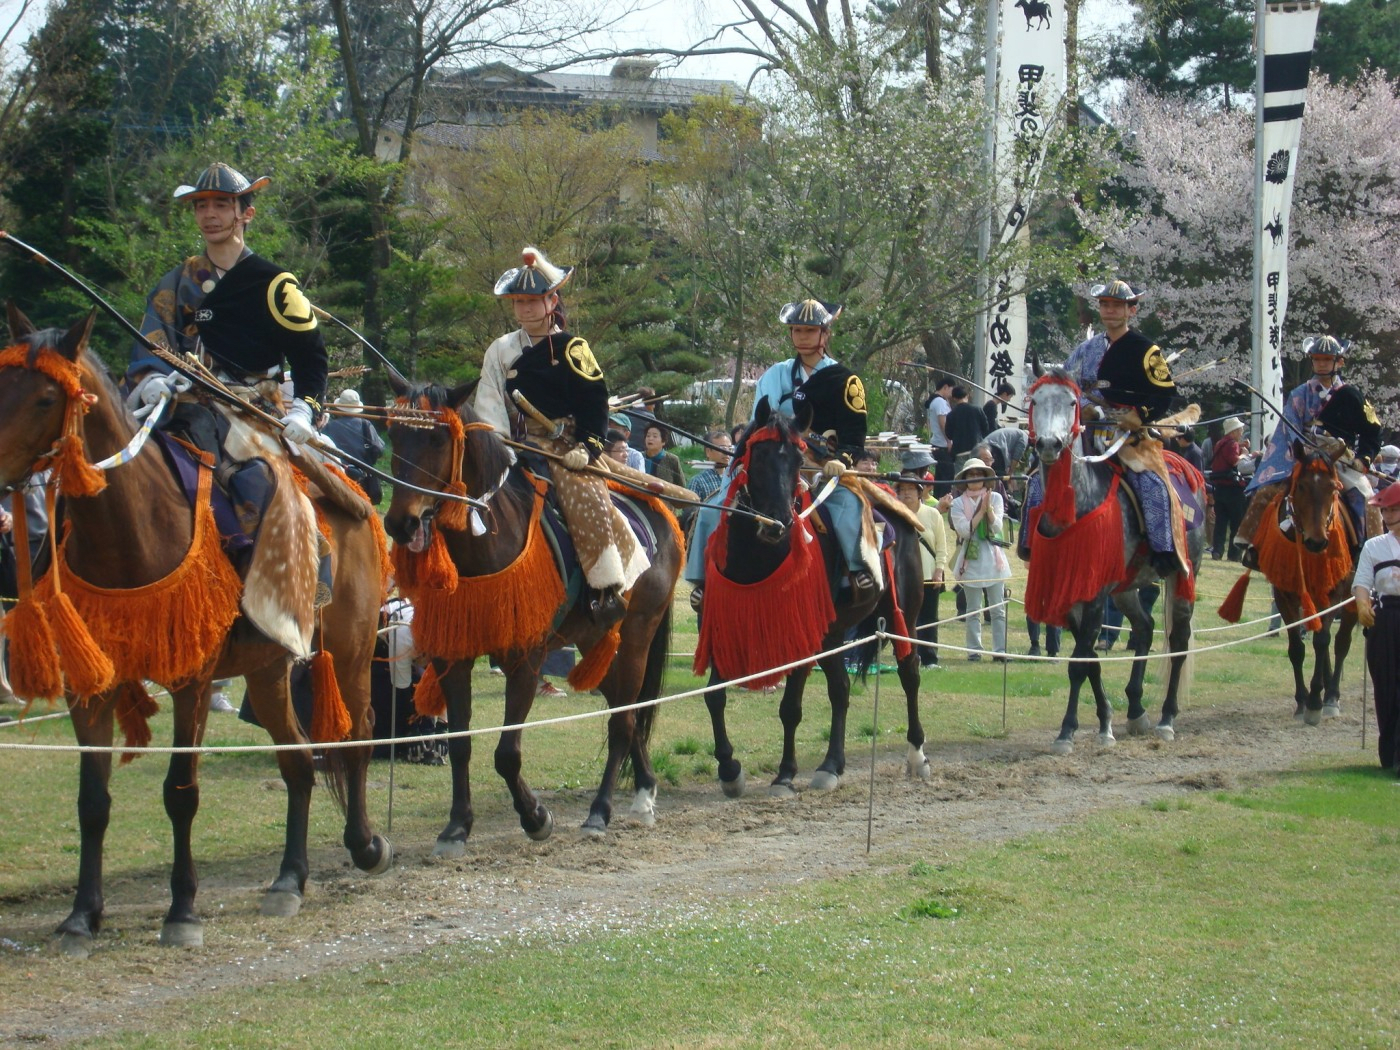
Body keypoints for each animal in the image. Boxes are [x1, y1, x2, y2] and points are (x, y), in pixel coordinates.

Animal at [0, 308, 389, 957]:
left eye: (47, 397)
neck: (129, 529)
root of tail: (346, 491)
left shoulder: (192, 680)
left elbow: (181, 792)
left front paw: (182, 911)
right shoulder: (91, 684)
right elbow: (92, 801)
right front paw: (81, 916)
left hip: (353, 648)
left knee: (356, 736)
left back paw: (364, 844)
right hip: (268, 667)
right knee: (298, 761)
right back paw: (289, 879)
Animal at [383, 378, 677, 845]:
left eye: (437, 438)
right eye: (394, 433)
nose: (401, 523)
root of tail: (660, 512)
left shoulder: (525, 656)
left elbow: (506, 753)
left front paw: (536, 817)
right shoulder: (453, 654)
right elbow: (461, 742)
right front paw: (457, 825)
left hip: (637, 634)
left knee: (622, 722)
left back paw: (601, 810)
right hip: (593, 637)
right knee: (624, 709)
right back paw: (644, 791)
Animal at [691, 403, 929, 795]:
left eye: (797, 460)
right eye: (758, 456)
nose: (777, 524)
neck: (757, 559)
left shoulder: (801, 632)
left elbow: (790, 707)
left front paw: (785, 774)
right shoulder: (723, 622)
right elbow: (715, 695)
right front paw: (729, 770)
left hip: (903, 615)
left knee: (909, 674)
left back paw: (916, 755)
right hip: (832, 632)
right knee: (841, 689)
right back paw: (832, 765)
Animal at [1019, 369, 1204, 756]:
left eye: (1071, 402)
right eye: (1036, 401)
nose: (1049, 444)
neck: (1075, 507)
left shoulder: (1093, 592)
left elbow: (1079, 663)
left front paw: (1066, 733)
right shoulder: (1071, 591)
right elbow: (1089, 660)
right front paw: (1104, 724)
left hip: (1185, 571)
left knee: (1179, 641)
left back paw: (1166, 719)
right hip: (1126, 588)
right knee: (1146, 627)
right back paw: (1135, 710)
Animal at [1220, 439, 1360, 728]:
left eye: (1333, 487)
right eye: (1302, 486)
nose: (1317, 542)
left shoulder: (1333, 591)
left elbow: (1322, 641)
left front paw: (1316, 702)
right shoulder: (1284, 593)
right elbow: (1297, 648)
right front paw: (1302, 701)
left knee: (1341, 642)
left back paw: (1331, 696)